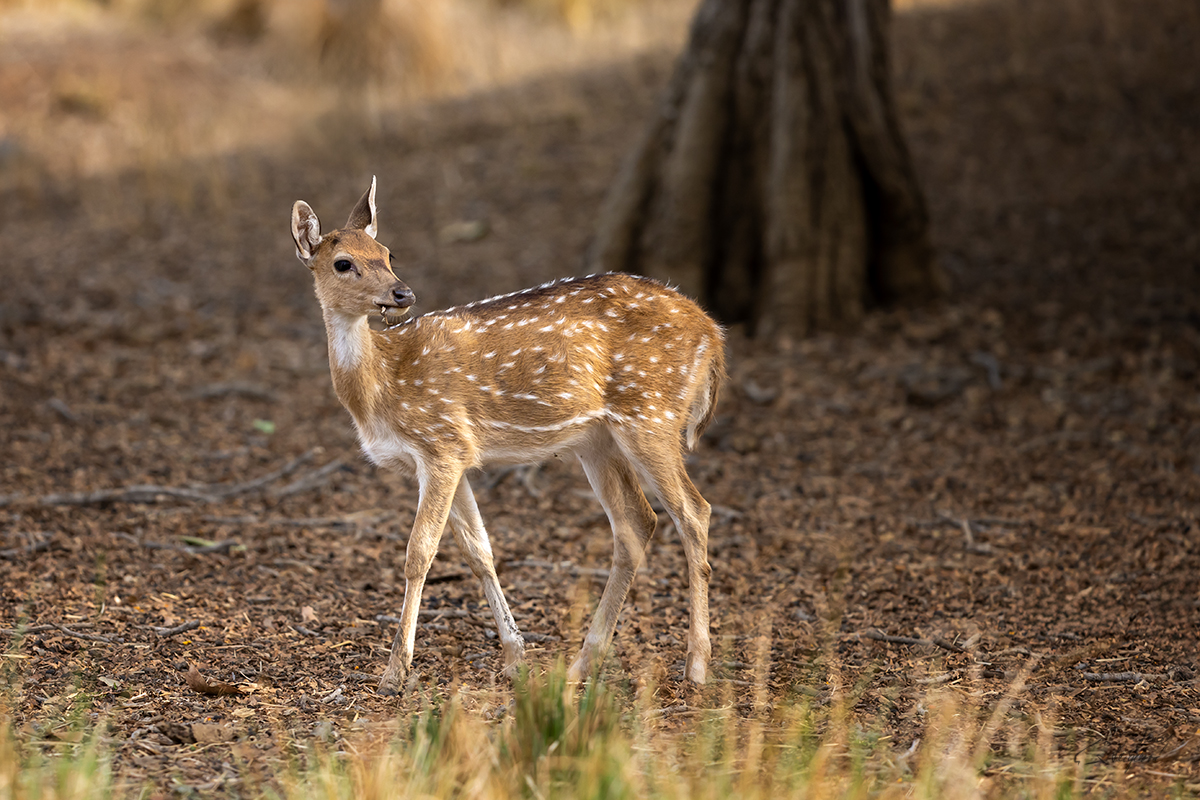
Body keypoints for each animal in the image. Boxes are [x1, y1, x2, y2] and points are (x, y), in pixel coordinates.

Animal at [292, 179, 720, 695]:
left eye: (388, 252)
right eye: (343, 263)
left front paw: (395, 672)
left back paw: (696, 666)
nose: (402, 292)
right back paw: (581, 663)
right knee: (638, 522)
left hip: (651, 413)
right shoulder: (454, 455)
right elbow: (480, 551)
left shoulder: (440, 443)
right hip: (598, 440)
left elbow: (419, 552)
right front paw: (515, 657)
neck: (380, 389)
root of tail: (714, 333)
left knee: (694, 512)